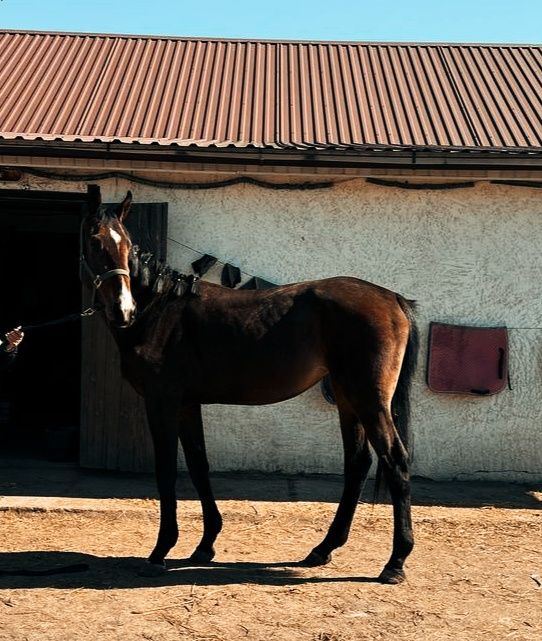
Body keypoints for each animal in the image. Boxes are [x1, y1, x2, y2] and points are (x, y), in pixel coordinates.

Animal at [79, 186, 420, 584]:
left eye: (126, 243)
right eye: (94, 240)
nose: (123, 310)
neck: (159, 309)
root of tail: (391, 298)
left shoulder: (162, 402)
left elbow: (166, 471)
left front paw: (161, 550)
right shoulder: (187, 404)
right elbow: (198, 464)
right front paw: (206, 544)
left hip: (368, 398)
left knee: (394, 460)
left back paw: (395, 562)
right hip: (348, 397)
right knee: (358, 462)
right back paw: (323, 549)